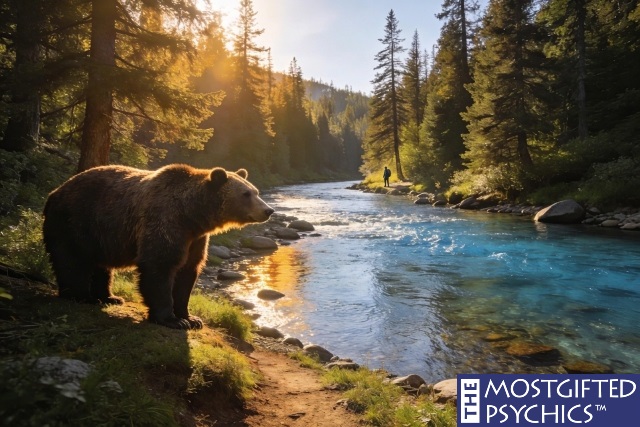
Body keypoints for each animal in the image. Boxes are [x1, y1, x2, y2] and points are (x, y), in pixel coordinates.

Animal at [42, 164, 274, 329]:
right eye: (246, 194)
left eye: (256, 191)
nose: (268, 210)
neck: (192, 214)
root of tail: (53, 193)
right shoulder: (165, 220)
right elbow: (160, 265)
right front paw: (172, 320)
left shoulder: (195, 239)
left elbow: (188, 271)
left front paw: (191, 318)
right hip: (73, 221)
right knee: (71, 260)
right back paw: (80, 295)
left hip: (101, 234)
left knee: (101, 265)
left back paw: (109, 297)